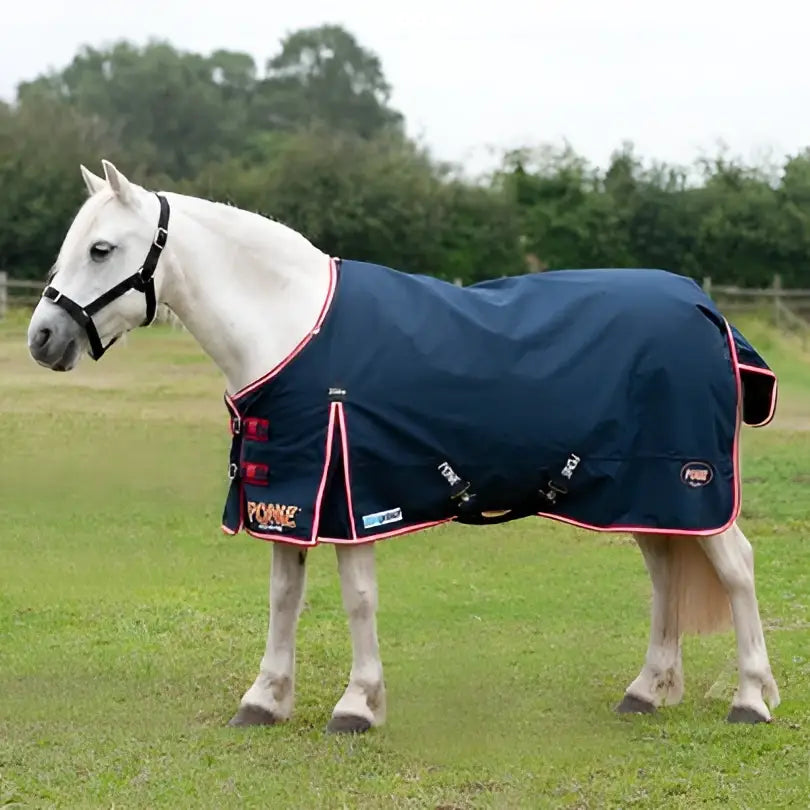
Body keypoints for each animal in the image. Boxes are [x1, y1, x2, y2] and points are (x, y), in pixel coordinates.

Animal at [27, 160, 782, 732]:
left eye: (102, 250)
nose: (41, 338)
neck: (294, 328)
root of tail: (704, 308)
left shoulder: (352, 491)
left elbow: (358, 599)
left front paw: (357, 705)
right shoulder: (289, 493)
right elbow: (283, 597)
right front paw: (265, 700)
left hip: (689, 483)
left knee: (736, 567)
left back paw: (750, 696)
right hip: (641, 493)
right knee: (666, 574)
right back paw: (649, 689)